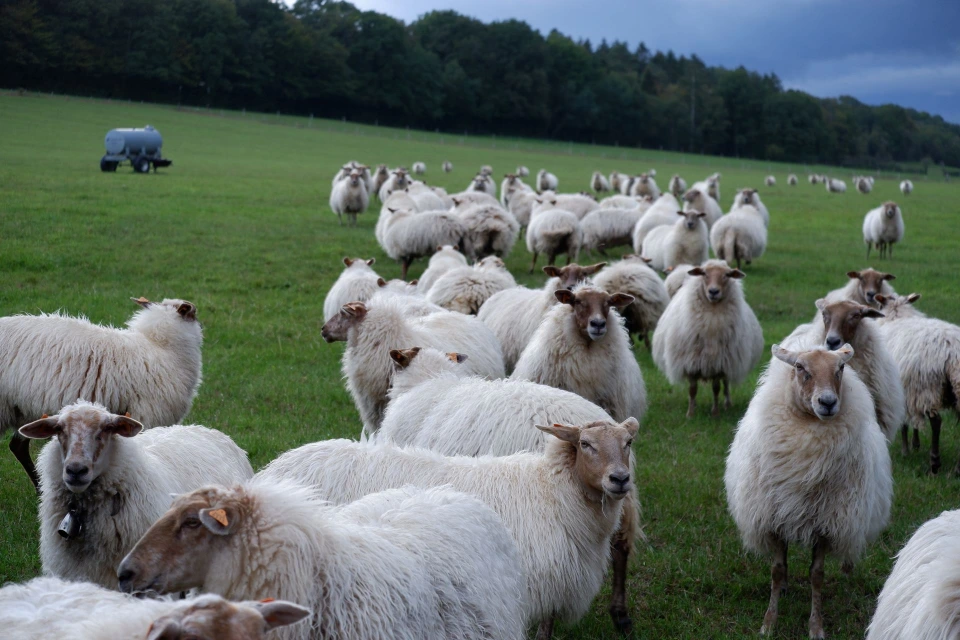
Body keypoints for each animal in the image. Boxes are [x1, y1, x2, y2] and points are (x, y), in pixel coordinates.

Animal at [255, 418, 640, 638]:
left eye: (628, 443)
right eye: (586, 444)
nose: (620, 479)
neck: (552, 489)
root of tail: (279, 465)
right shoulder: (541, 582)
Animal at [652, 260, 764, 417]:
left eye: (727, 275)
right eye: (704, 273)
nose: (713, 291)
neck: (712, 315)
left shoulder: (719, 363)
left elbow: (716, 388)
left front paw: (715, 412)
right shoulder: (691, 362)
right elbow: (692, 390)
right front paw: (690, 413)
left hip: (729, 362)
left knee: (726, 384)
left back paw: (727, 404)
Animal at [725, 344, 892, 639]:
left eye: (841, 368)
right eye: (800, 367)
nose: (827, 402)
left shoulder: (827, 524)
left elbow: (817, 575)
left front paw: (816, 626)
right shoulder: (774, 520)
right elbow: (777, 570)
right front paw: (769, 622)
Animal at [874, 292, 960, 472]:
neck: (897, 316)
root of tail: (952, 350)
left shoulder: (902, 391)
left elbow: (904, 422)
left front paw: (906, 450)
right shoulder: (907, 391)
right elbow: (913, 421)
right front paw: (915, 444)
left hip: (927, 387)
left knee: (936, 421)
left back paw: (935, 462)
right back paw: (957, 468)